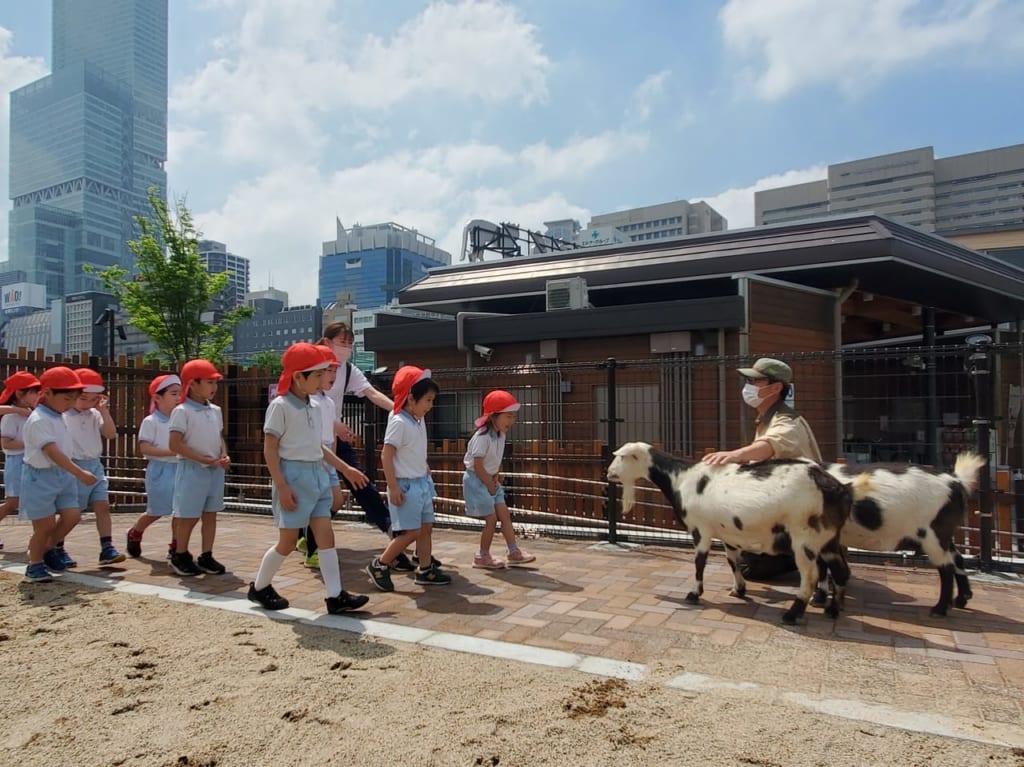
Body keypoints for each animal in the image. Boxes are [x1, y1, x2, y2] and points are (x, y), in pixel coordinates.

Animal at [606, 442, 847, 622]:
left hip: (804, 536)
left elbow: (699, 563)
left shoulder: (700, 529)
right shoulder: (729, 533)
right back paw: (832, 609)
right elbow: (732, 561)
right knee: (840, 570)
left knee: (810, 576)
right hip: (828, 538)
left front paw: (694, 594)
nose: (608, 473)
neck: (681, 477)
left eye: (622, 457)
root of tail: (833, 486)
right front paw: (739, 590)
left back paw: (793, 614)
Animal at [815, 452, 983, 618]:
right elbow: (822, 565)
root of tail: (956, 481)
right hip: (942, 535)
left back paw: (938, 610)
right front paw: (819, 598)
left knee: (946, 567)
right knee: (957, 558)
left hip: (934, 535)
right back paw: (961, 600)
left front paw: (819, 599)